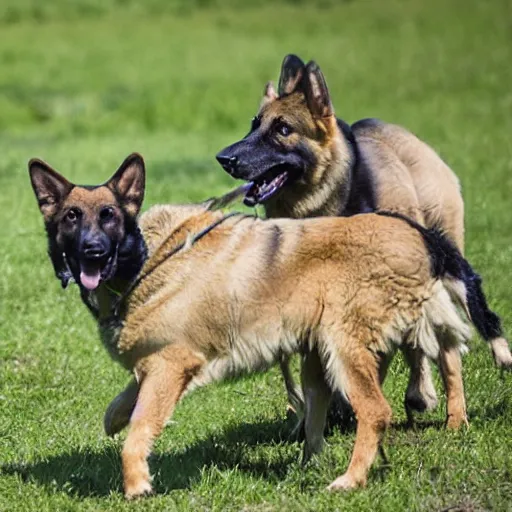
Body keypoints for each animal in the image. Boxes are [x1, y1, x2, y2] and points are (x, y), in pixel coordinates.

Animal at [31, 154, 504, 498]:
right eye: (71, 217)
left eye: (109, 215)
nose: (93, 251)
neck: (147, 257)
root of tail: (420, 234)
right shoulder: (157, 365)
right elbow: (117, 411)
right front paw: (118, 426)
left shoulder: (172, 364)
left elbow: (138, 430)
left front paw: (137, 486)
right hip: (324, 353)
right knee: (433, 364)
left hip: (344, 348)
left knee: (377, 410)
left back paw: (350, 480)